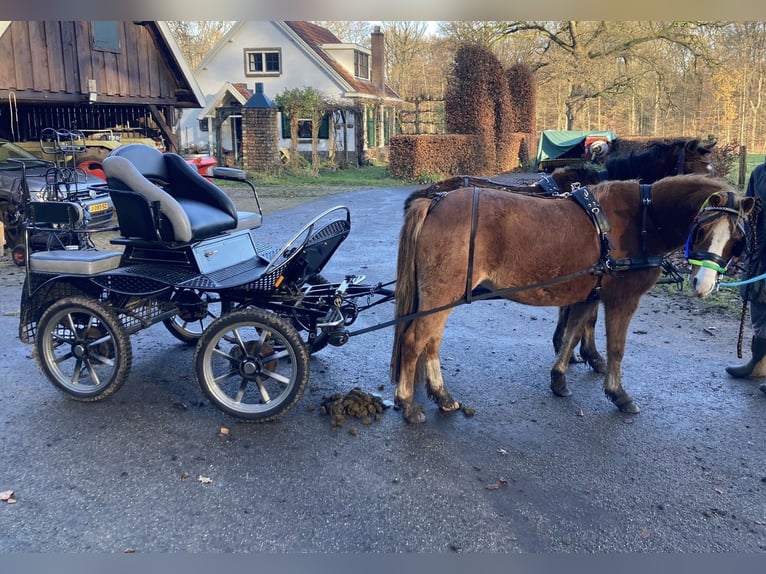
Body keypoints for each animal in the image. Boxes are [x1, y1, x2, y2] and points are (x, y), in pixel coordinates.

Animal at [392, 174, 752, 424]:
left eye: (737, 239)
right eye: (701, 229)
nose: (703, 284)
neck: (641, 220)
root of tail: (435, 202)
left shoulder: (588, 294)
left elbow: (573, 331)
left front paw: (560, 377)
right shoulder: (622, 299)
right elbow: (616, 347)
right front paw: (618, 393)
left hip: (445, 297)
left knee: (431, 343)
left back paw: (442, 396)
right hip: (442, 294)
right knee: (414, 341)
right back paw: (408, 403)